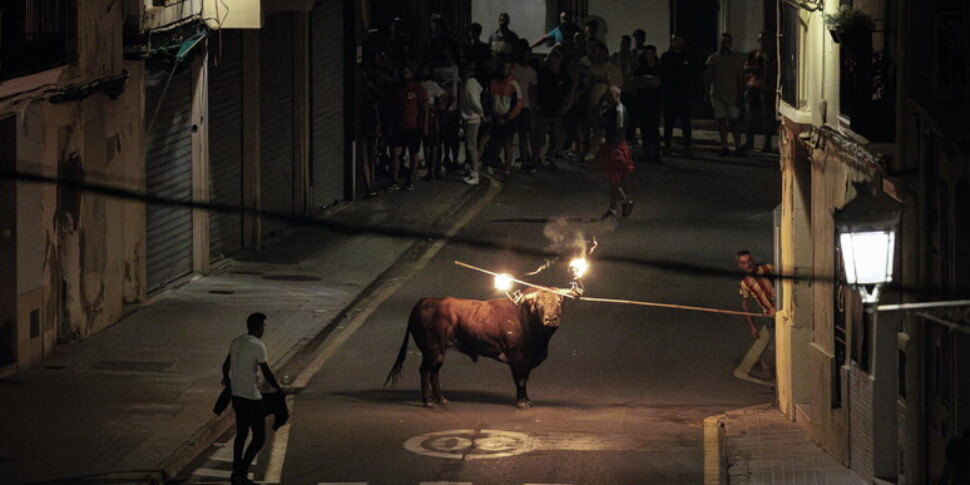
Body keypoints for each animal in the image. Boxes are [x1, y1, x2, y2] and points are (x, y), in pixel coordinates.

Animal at [382, 288, 572, 408]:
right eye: (538, 304)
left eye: (559, 302)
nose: (551, 319)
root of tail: (424, 301)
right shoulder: (518, 357)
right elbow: (521, 380)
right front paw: (521, 402)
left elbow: (524, 380)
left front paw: (528, 400)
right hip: (432, 349)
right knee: (425, 371)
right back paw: (428, 401)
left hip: (439, 352)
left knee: (434, 371)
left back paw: (441, 399)